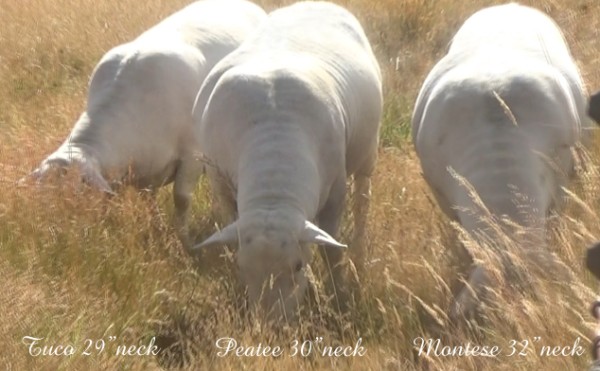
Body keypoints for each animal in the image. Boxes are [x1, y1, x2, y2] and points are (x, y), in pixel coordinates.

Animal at [176, 0, 382, 322]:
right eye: (242, 267)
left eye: (298, 266)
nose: (271, 326)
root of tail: (314, 3)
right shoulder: (221, 185)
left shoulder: (335, 193)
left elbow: (332, 251)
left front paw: (339, 294)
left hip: (367, 153)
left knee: (363, 198)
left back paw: (359, 252)